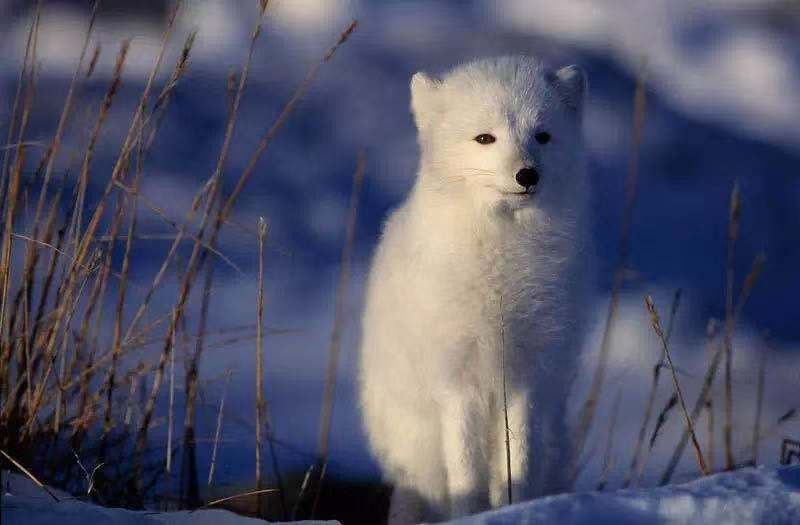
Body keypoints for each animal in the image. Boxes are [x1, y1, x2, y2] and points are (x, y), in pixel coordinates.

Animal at [360, 55, 592, 520]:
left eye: (543, 136)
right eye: (485, 138)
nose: (527, 174)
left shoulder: (527, 376)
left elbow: (519, 462)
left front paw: (516, 510)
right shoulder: (457, 382)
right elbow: (466, 472)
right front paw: (471, 516)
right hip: (414, 455)